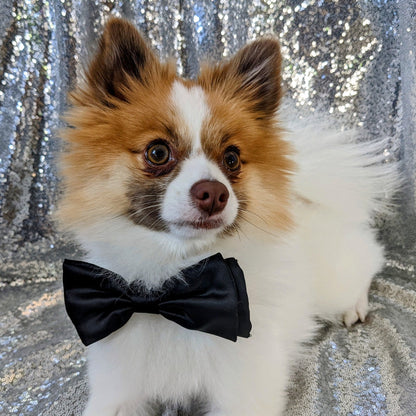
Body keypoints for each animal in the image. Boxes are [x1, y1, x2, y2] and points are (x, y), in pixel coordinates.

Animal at [57, 17, 396, 416]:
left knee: (369, 259)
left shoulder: (244, 388)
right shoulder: (117, 390)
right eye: (157, 152)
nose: (214, 193)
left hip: (336, 281)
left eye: (232, 159)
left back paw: (357, 304)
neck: (175, 284)